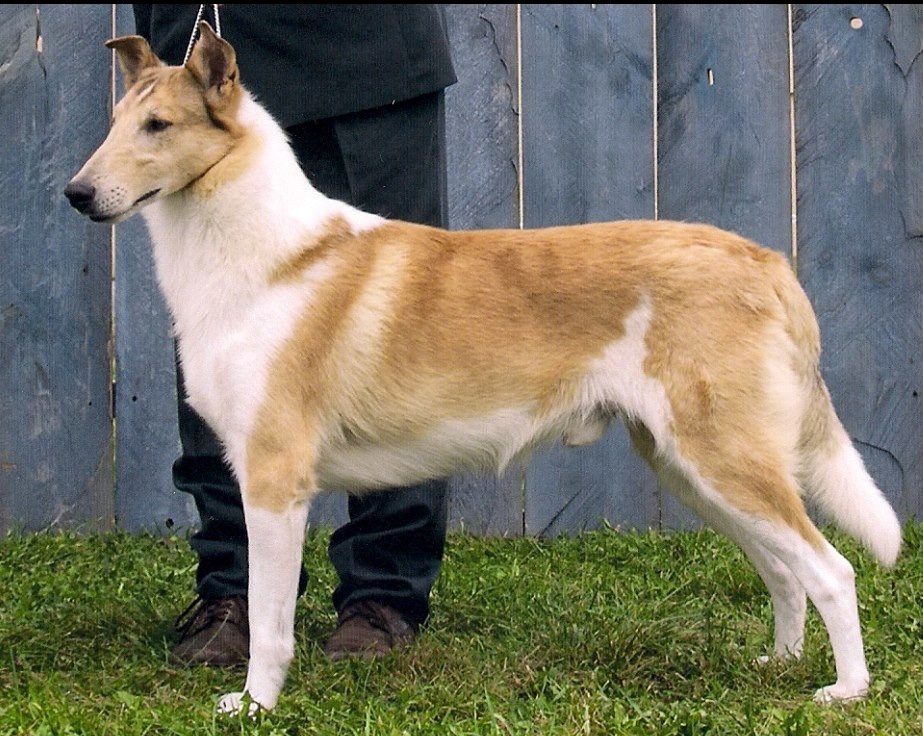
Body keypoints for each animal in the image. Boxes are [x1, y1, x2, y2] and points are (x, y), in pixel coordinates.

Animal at [65, 24, 904, 720]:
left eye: (158, 127)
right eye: (113, 125)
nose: (76, 194)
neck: (267, 257)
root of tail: (763, 260)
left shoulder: (275, 480)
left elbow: (271, 622)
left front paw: (253, 707)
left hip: (723, 459)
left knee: (832, 570)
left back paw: (844, 692)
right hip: (693, 468)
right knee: (785, 574)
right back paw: (778, 665)